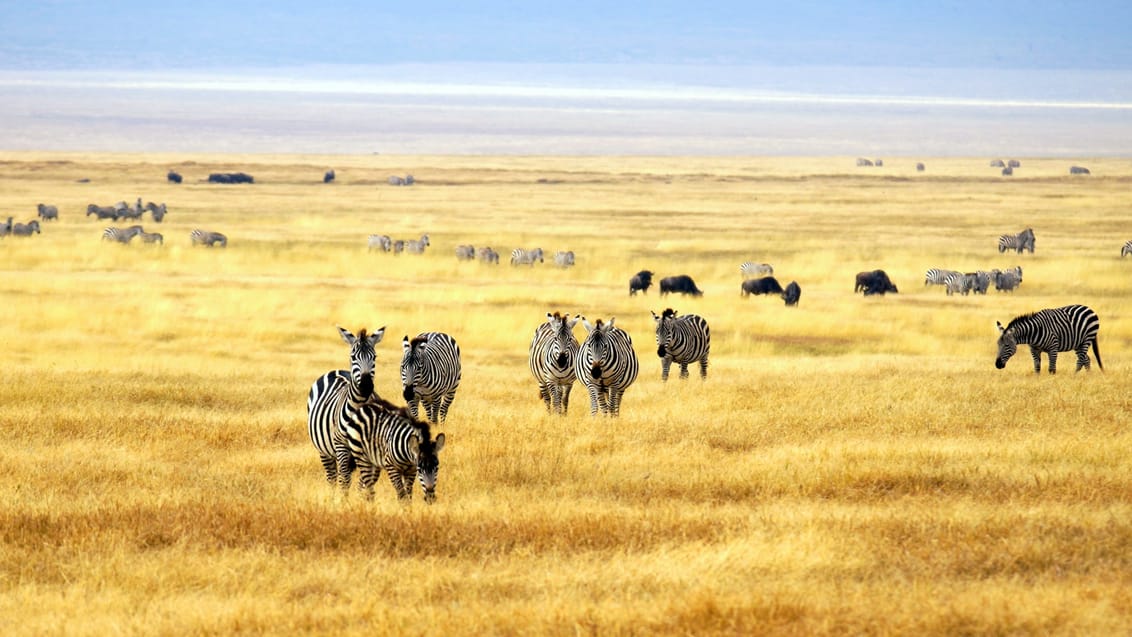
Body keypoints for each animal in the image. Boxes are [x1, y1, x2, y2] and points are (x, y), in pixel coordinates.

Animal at [307, 328, 387, 488]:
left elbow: (366, 481)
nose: (366, 386)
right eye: (353, 357)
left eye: (374, 357)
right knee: (332, 477)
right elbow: (345, 479)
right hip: (324, 451)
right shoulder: (341, 445)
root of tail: (335, 370)